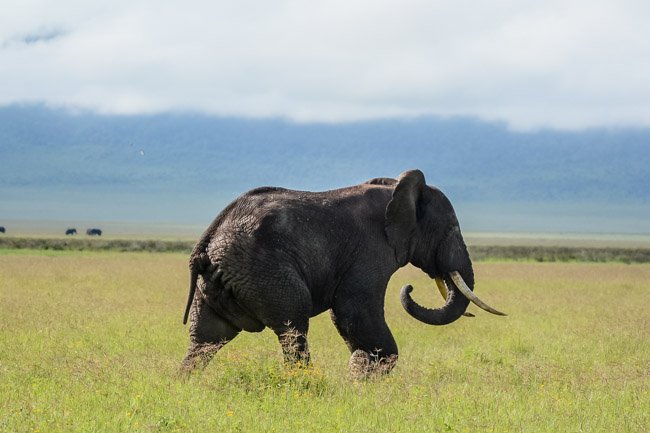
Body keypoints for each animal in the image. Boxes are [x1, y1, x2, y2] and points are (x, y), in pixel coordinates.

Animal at [180, 170, 504, 376]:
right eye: (452, 229)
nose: (410, 287)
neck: (397, 190)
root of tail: (208, 241)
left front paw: (362, 373)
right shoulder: (371, 249)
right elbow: (352, 308)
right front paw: (365, 375)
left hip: (223, 279)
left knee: (208, 336)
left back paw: (186, 385)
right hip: (264, 270)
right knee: (292, 325)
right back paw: (307, 387)